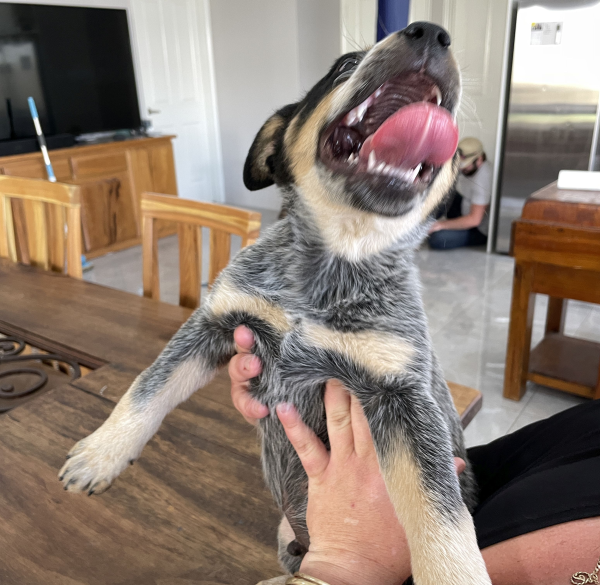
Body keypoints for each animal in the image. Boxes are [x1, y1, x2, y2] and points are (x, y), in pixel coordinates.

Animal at [58, 22, 492, 584]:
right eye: (344, 65)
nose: (433, 32)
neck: (327, 272)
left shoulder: (402, 394)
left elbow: (443, 519)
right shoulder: (215, 323)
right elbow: (144, 389)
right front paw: (100, 454)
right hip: (286, 534)